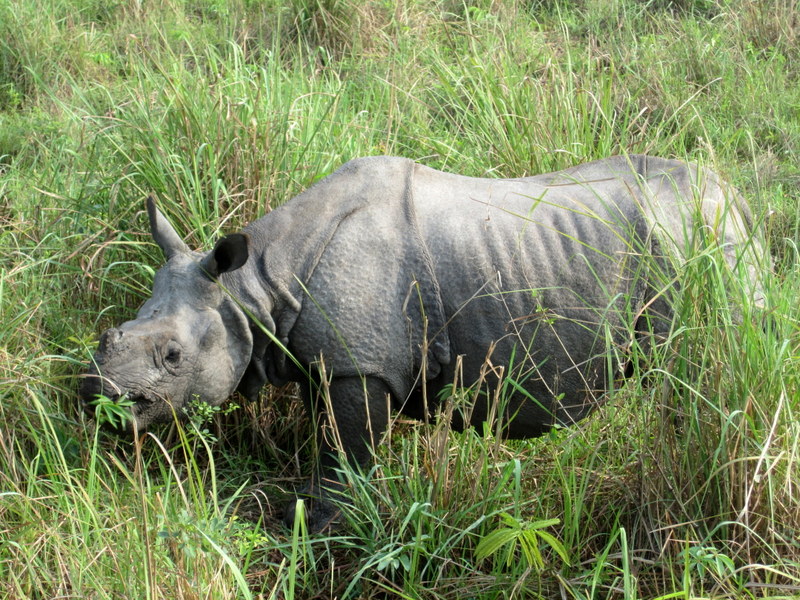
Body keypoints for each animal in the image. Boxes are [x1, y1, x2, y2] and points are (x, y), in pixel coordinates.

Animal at [79, 155, 766, 529]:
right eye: (113, 332)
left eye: (173, 357)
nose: (96, 398)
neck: (254, 290)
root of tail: (737, 199)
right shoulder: (329, 361)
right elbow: (328, 440)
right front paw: (310, 512)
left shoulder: (361, 367)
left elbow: (349, 452)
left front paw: (328, 528)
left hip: (698, 244)